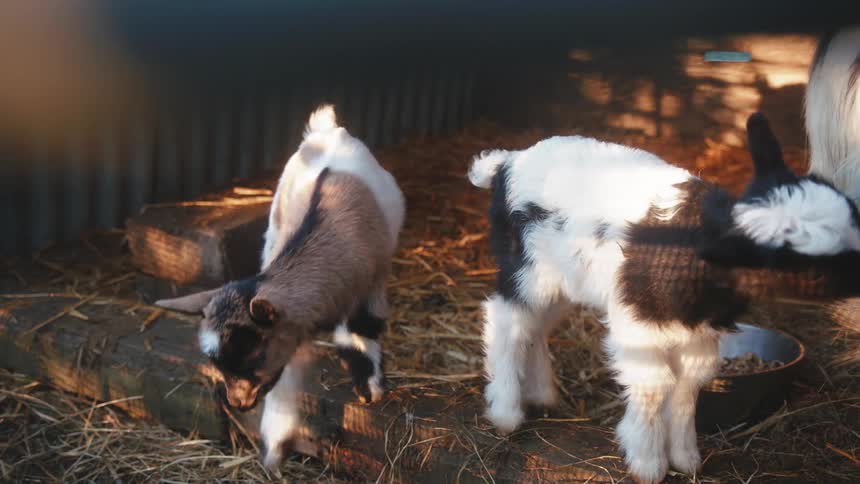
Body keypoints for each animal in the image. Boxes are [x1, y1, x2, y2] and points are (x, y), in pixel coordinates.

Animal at [155, 105, 405, 473]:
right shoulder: (291, 330)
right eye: (218, 365)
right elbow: (285, 382)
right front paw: (274, 451)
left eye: (253, 355)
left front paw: (370, 387)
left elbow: (361, 330)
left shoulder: (370, 282)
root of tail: (325, 129)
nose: (239, 404)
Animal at [469, 113, 860, 483]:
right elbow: (655, 385)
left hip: (565, 279)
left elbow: (689, 384)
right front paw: (647, 462)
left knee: (535, 326)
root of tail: (507, 161)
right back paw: (506, 412)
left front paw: (686, 459)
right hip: (526, 267)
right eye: (805, 265)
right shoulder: (637, 324)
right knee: (505, 321)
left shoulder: (698, 332)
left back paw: (541, 394)